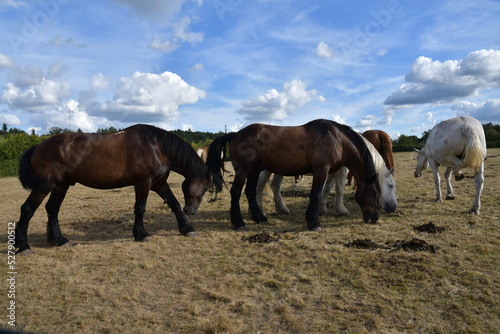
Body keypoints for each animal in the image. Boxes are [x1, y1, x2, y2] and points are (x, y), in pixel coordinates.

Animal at [14, 124, 212, 253]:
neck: (156, 147)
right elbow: (140, 208)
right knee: (27, 209)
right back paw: (23, 246)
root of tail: (38, 146)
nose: (191, 210)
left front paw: (187, 228)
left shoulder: (159, 184)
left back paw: (60, 240)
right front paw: (141, 234)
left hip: (61, 186)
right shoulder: (143, 183)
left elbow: (174, 203)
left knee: (52, 209)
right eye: (204, 188)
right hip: (44, 186)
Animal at [205, 118, 380, 231]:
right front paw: (313, 223)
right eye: (374, 192)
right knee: (236, 191)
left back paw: (260, 218)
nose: (375, 217)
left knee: (250, 191)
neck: (337, 139)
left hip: (254, 170)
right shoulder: (321, 170)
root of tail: (235, 134)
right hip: (244, 169)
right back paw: (239, 223)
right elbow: (315, 193)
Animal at [256, 136, 396, 217]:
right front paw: (341, 210)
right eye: (391, 185)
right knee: (261, 185)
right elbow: (339, 189)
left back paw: (282, 209)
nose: (394, 207)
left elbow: (327, 188)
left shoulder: (332, 172)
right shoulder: (341, 170)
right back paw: (261, 210)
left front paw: (322, 209)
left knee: (275, 186)